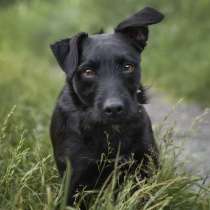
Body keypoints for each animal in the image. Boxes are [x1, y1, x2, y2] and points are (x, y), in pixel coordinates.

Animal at [49, 6, 164, 208]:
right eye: (88, 72)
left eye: (127, 67)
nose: (114, 108)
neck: (111, 131)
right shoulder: (75, 179)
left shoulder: (145, 168)